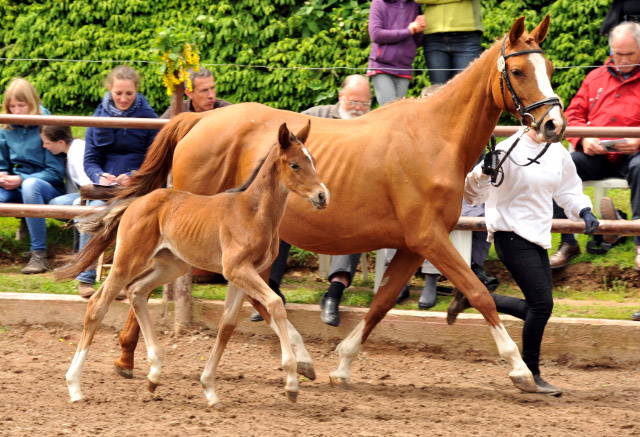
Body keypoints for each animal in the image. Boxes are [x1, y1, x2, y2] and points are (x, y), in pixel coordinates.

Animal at [62, 122, 328, 406]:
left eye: (312, 161)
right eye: (295, 164)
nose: (323, 195)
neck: (253, 213)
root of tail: (136, 202)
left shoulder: (243, 275)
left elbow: (227, 326)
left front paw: (209, 389)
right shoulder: (237, 269)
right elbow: (276, 304)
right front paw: (291, 383)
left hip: (171, 265)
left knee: (136, 291)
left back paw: (154, 375)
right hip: (128, 260)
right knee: (98, 304)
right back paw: (74, 386)